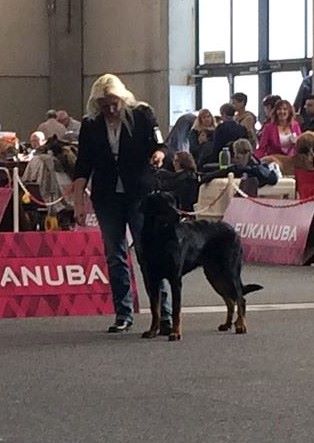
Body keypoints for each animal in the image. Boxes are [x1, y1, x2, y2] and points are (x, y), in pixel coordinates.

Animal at [140, 193, 262, 342]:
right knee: (230, 300)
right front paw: (152, 331)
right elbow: (155, 309)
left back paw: (241, 326)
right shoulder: (152, 279)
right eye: (163, 202)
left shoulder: (175, 279)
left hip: (230, 271)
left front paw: (175, 333)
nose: (179, 215)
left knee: (240, 298)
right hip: (214, 276)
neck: (159, 237)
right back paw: (227, 325)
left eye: (174, 202)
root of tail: (234, 230)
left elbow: (176, 310)